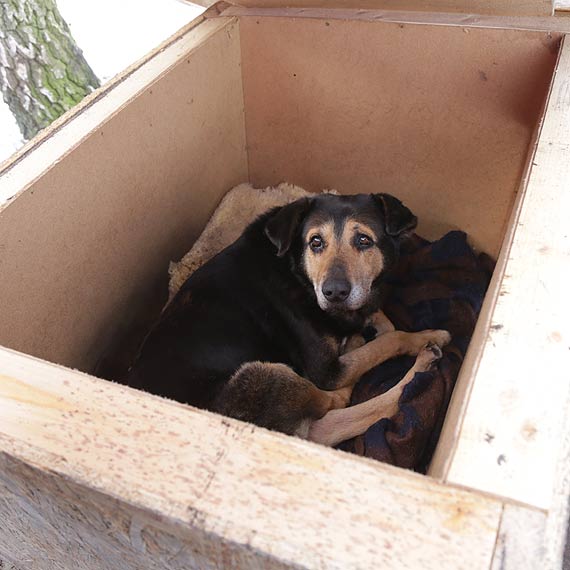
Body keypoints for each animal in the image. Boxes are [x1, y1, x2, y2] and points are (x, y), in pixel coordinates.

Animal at [126, 193, 450, 446]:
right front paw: (426, 336)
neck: (296, 271)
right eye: (315, 242)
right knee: (335, 401)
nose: (334, 292)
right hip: (264, 375)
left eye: (363, 240)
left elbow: (381, 319)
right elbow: (388, 340)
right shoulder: (326, 370)